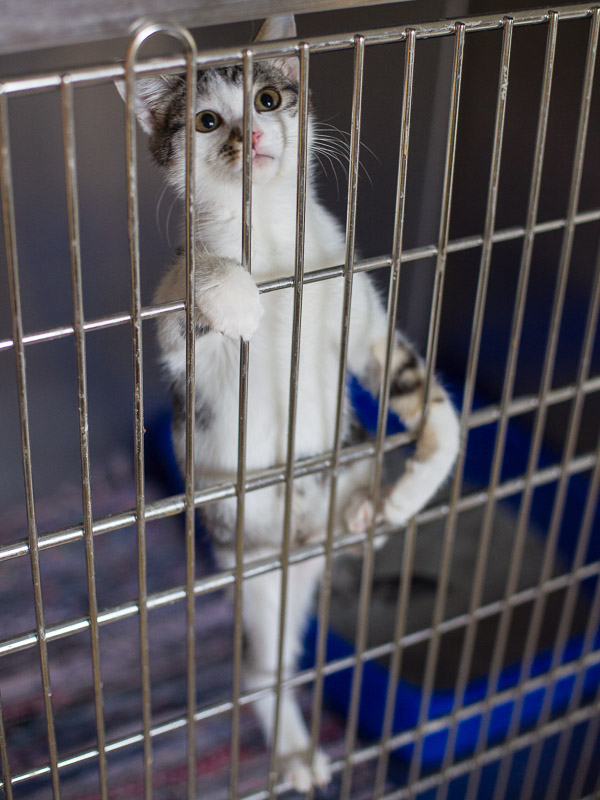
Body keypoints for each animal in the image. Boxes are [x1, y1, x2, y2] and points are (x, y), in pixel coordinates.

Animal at [120, 14, 460, 792]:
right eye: (207, 121)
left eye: (270, 98)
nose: (251, 136)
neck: (274, 240)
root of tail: (304, 547)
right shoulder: (176, 341)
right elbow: (190, 284)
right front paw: (238, 296)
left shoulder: (361, 323)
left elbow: (430, 399)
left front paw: (421, 477)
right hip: (250, 574)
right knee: (262, 673)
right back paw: (296, 753)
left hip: (346, 469)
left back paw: (372, 513)